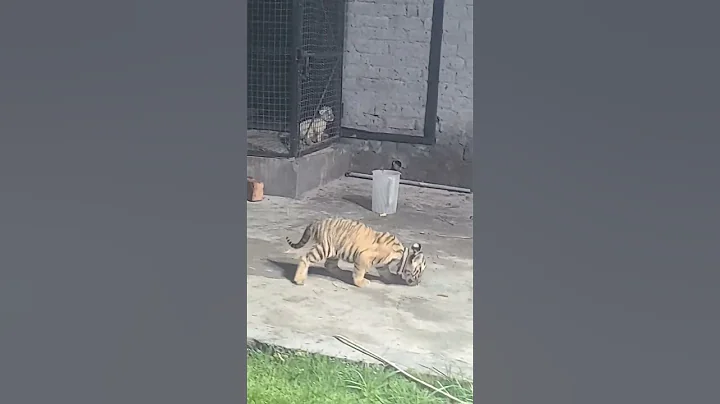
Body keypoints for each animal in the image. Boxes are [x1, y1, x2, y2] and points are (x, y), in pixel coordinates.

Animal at [285, 217, 427, 288]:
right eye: (419, 272)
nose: (418, 283)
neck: (402, 255)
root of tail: (317, 222)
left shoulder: (382, 266)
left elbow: (386, 273)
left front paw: (392, 278)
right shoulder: (363, 257)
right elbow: (360, 272)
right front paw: (361, 283)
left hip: (334, 251)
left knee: (330, 265)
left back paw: (343, 273)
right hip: (325, 248)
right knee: (305, 258)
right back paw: (299, 280)